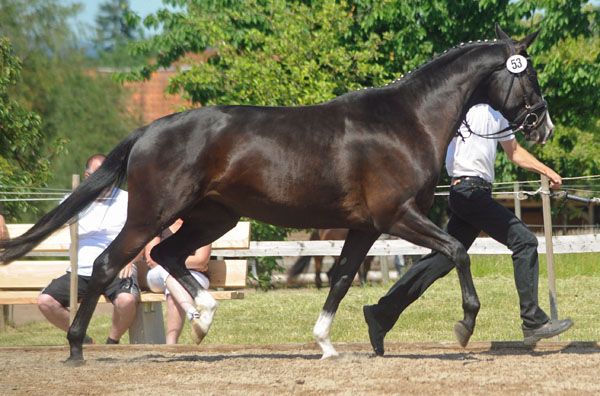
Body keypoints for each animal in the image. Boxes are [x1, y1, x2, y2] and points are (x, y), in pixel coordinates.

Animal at [0, 25, 552, 366]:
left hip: (213, 218)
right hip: (152, 214)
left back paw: (203, 317)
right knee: (108, 265)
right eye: (528, 73)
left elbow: (341, 278)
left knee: (168, 254)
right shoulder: (397, 216)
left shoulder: (364, 227)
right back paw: (77, 348)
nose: (542, 126)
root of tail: (150, 129)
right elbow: (458, 251)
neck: (406, 120)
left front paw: (326, 345)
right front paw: (465, 325)